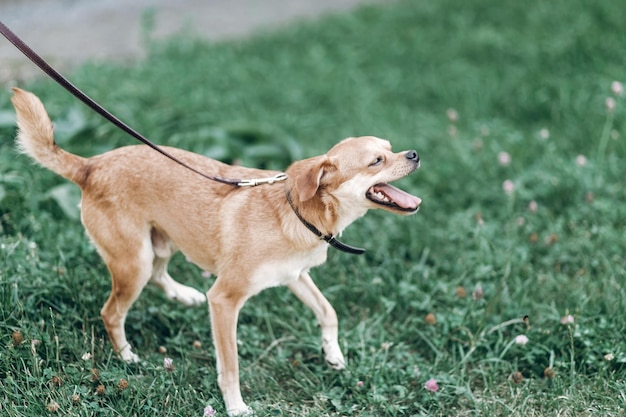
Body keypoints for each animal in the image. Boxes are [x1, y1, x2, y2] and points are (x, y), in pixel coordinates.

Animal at [11, 87, 420, 412]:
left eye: (389, 148)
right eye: (377, 161)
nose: (414, 153)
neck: (299, 211)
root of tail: (90, 166)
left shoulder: (295, 276)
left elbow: (328, 312)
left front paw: (333, 354)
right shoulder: (224, 300)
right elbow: (231, 365)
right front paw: (236, 407)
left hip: (159, 245)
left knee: (159, 275)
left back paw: (183, 295)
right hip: (134, 262)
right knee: (112, 312)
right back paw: (127, 357)